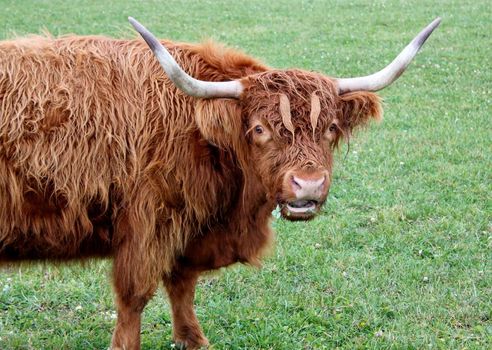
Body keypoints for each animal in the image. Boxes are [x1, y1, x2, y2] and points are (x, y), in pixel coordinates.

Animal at [0, 17, 438, 350]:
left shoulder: (187, 228)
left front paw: (193, 340)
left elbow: (182, 286)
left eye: (330, 128)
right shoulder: (148, 225)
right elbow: (134, 298)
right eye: (259, 129)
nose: (309, 185)